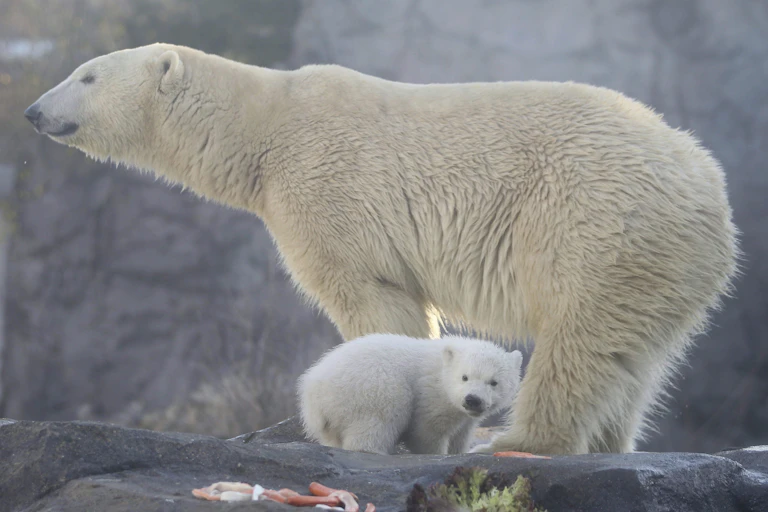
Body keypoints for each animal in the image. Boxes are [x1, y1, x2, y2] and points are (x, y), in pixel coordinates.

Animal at [298, 334, 523, 455]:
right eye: (464, 377)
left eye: (494, 382)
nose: (473, 400)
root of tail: (313, 390)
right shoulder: (431, 392)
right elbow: (427, 430)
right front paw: (437, 453)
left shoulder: (465, 416)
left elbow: (461, 434)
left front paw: (458, 451)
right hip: (371, 386)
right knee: (380, 416)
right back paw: (372, 450)